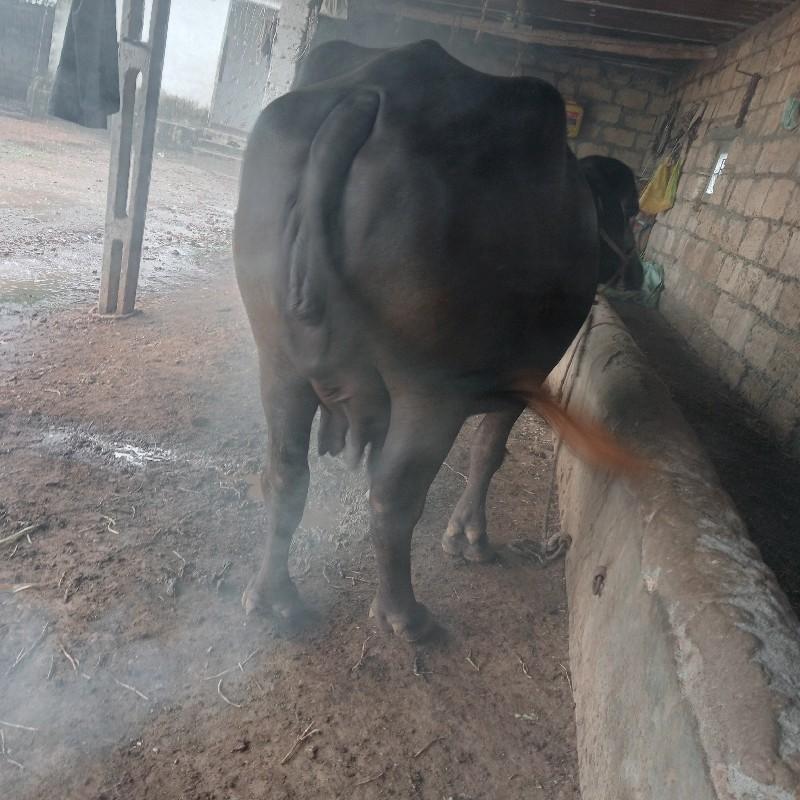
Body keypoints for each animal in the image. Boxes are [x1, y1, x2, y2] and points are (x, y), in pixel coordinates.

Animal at [233, 39, 643, 642]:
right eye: (631, 211)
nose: (634, 273)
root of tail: (365, 95)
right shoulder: (521, 382)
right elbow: (488, 452)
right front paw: (470, 537)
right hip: (431, 392)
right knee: (394, 498)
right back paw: (404, 613)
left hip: (277, 362)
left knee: (286, 474)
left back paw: (273, 595)